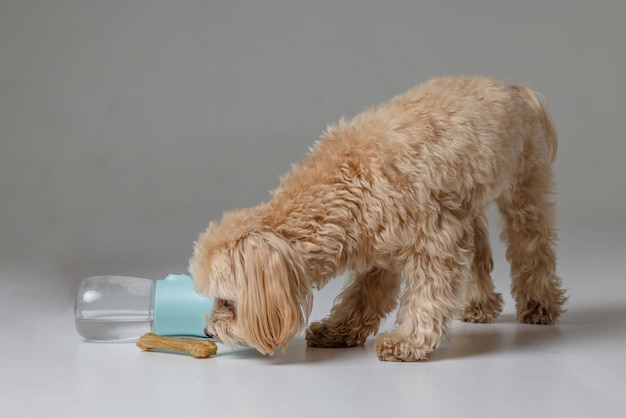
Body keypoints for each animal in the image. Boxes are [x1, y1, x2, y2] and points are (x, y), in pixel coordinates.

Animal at [189, 76, 564, 360]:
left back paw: (539, 305)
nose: (207, 330)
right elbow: (363, 295)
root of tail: (512, 87)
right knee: (478, 255)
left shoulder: (435, 240)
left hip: (524, 194)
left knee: (533, 250)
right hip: (466, 206)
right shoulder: (380, 246)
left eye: (228, 301)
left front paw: (409, 341)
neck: (346, 180)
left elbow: (427, 293)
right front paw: (339, 330)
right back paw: (480, 305)